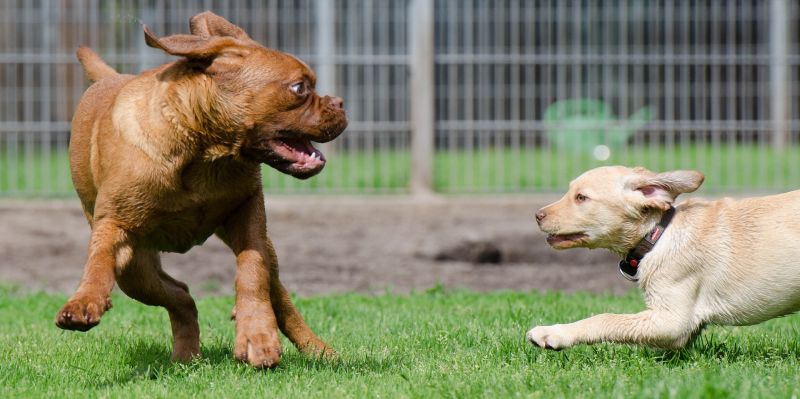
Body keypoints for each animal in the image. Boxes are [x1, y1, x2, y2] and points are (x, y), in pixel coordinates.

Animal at [56, 11, 344, 368]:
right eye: (300, 88)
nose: (340, 102)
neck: (203, 151)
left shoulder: (249, 215)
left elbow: (252, 272)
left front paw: (257, 335)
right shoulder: (114, 225)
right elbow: (97, 263)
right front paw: (84, 301)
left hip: (263, 252)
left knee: (276, 296)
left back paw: (317, 350)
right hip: (135, 271)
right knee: (180, 294)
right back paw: (186, 355)